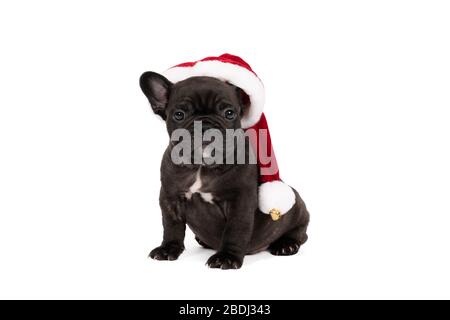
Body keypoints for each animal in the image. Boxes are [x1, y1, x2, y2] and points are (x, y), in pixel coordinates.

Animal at [141, 72, 310, 270]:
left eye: (229, 113)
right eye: (179, 114)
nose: (205, 126)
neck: (201, 166)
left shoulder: (239, 201)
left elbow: (235, 229)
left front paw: (226, 257)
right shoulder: (170, 198)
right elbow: (171, 226)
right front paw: (168, 248)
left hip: (297, 207)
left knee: (300, 232)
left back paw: (286, 244)